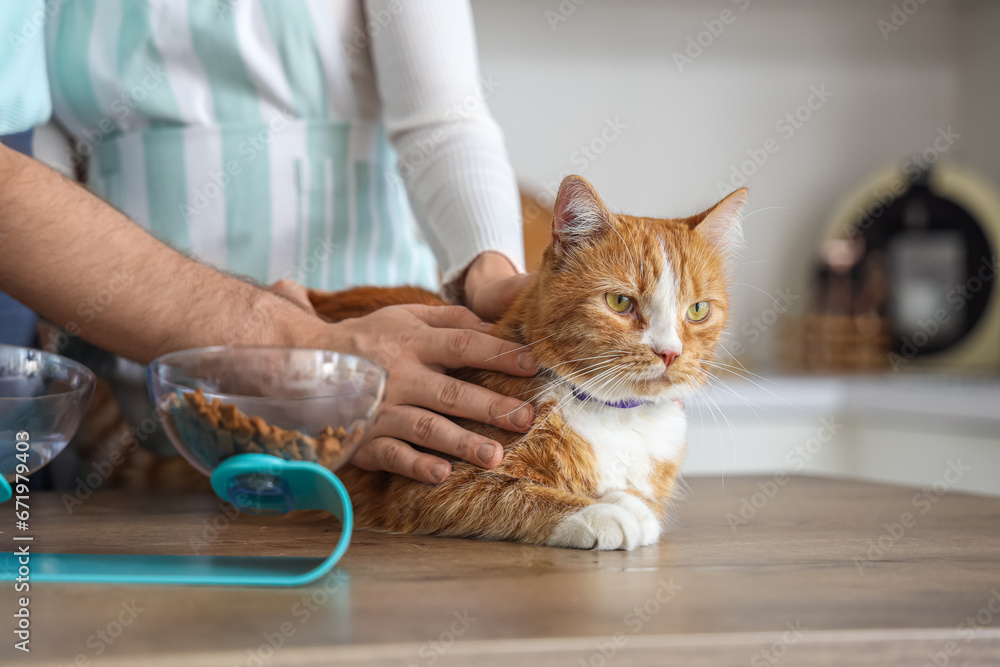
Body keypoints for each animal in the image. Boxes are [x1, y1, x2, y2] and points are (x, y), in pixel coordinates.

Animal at [308, 175, 748, 552]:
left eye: (698, 310)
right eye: (620, 302)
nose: (670, 352)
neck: (615, 415)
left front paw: (626, 503)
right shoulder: (432, 482)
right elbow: (510, 495)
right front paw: (602, 512)